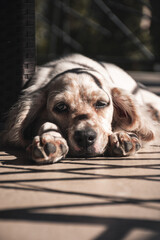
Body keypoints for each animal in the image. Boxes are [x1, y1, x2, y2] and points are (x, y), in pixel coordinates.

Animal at [1, 54, 160, 163]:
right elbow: (46, 124)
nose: (85, 137)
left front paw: (122, 136)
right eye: (60, 107)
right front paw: (51, 139)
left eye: (101, 103)